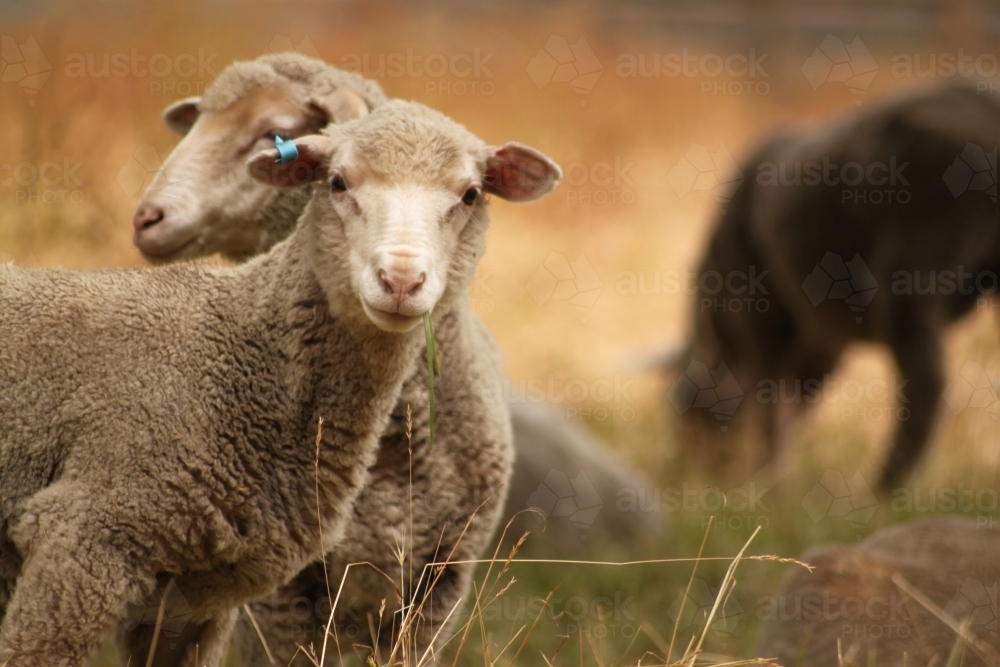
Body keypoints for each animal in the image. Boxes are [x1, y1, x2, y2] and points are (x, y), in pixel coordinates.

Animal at [0, 99, 564, 667]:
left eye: (469, 194)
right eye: (337, 182)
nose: (401, 281)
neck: (242, 347)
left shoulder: (191, 598)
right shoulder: (82, 539)